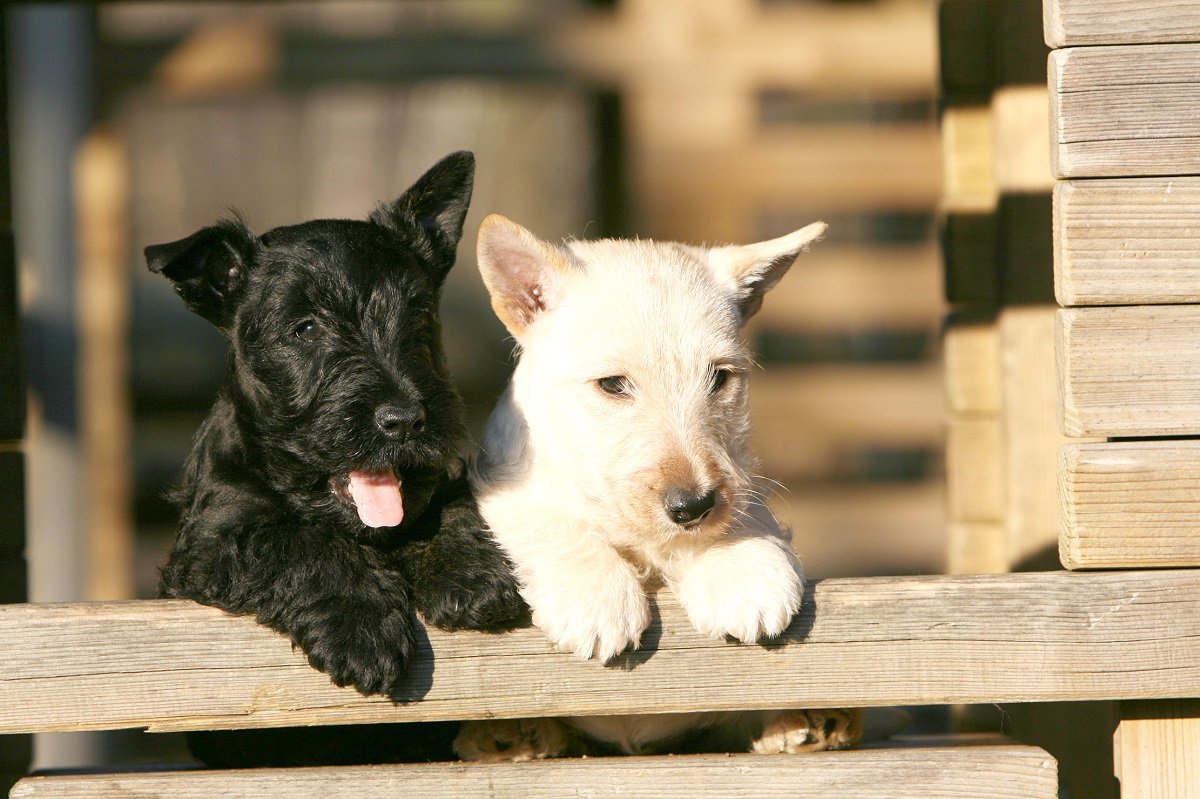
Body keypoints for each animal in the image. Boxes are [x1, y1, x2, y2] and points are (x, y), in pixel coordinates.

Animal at [145, 151, 525, 695]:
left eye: (419, 318)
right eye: (306, 329)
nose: (405, 420)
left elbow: (449, 502)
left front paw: (467, 569)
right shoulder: (214, 540)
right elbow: (298, 541)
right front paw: (361, 627)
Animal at [453, 214, 859, 758]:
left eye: (719, 378)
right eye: (611, 385)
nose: (692, 507)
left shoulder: (734, 478)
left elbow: (744, 506)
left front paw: (742, 568)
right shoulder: (502, 486)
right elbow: (552, 521)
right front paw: (596, 598)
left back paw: (811, 721)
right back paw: (510, 735)